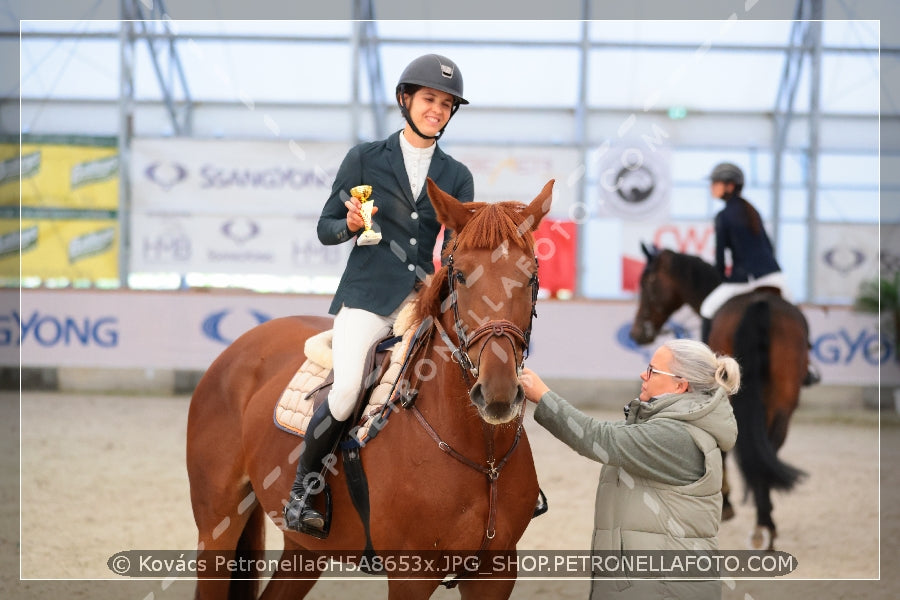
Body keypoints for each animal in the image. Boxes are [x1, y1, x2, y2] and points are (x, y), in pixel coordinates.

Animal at [624, 243, 808, 548]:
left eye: (648, 282)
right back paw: (765, 525)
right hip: (783, 401)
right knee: (769, 449)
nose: (638, 333)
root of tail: (759, 304)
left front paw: (727, 501)